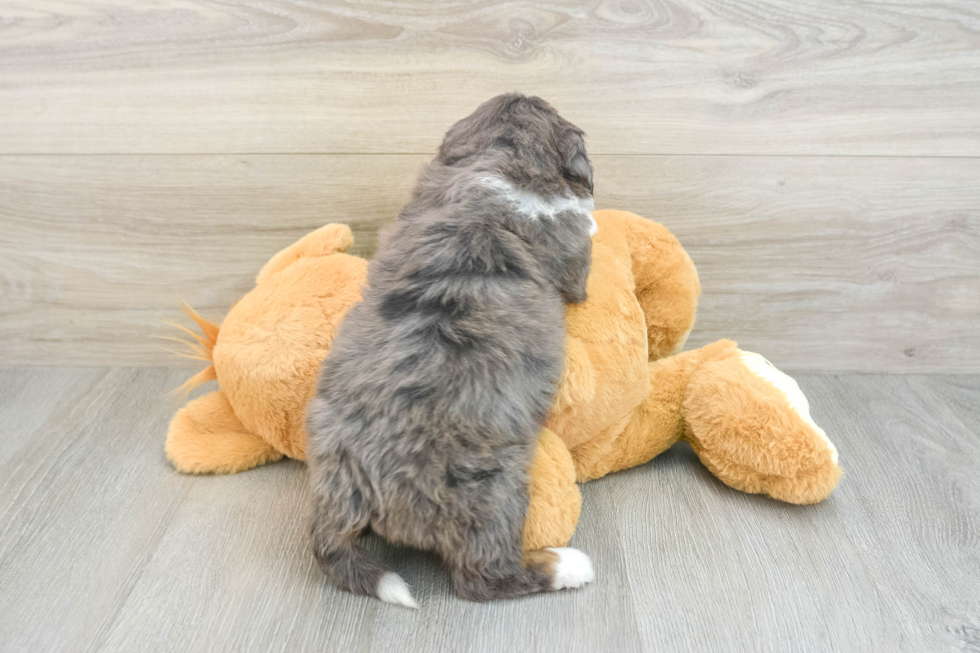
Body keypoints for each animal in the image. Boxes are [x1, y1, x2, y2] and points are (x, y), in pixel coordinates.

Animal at [306, 93, 596, 608]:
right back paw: (566, 565)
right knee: (483, 578)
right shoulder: (571, 252)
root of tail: (356, 491)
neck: (499, 162)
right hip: (493, 494)